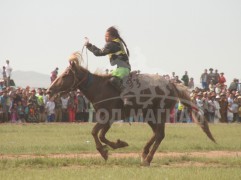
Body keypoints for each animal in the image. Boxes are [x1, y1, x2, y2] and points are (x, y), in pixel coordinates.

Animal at [46, 52, 215, 166]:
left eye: (65, 75)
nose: (49, 90)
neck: (100, 88)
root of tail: (172, 84)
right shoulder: (107, 119)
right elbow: (100, 135)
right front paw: (116, 145)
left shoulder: (107, 117)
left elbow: (95, 133)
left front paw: (105, 151)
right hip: (148, 114)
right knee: (157, 133)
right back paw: (144, 154)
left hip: (159, 113)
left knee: (160, 134)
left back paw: (147, 159)